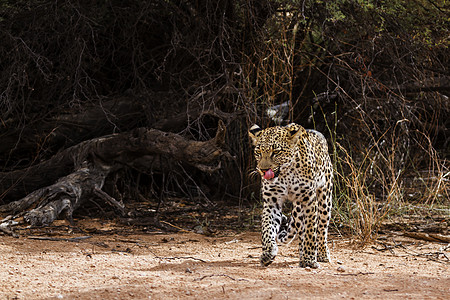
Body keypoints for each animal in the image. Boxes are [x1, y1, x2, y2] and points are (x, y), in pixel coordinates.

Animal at [248, 123, 332, 268]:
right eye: (258, 152)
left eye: (276, 152)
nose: (263, 170)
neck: (285, 174)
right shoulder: (272, 201)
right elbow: (267, 229)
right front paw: (268, 253)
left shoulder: (309, 200)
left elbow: (311, 230)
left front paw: (310, 259)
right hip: (299, 208)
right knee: (301, 229)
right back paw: (302, 254)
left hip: (325, 197)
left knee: (321, 227)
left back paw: (321, 254)